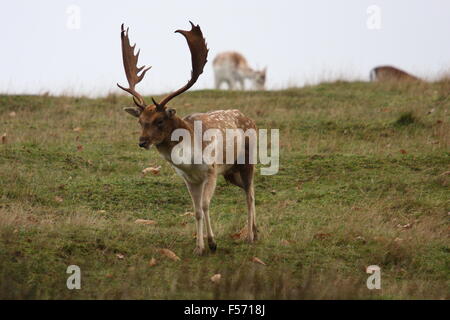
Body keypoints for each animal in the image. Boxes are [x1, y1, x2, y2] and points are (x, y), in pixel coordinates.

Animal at [118, 22, 258, 255]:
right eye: (140, 121)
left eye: (159, 120)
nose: (142, 142)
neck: (189, 160)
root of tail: (250, 119)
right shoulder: (189, 179)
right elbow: (197, 210)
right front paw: (199, 248)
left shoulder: (211, 170)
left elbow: (205, 205)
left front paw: (212, 243)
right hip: (231, 172)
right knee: (251, 191)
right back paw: (256, 232)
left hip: (247, 161)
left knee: (249, 194)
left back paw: (249, 237)